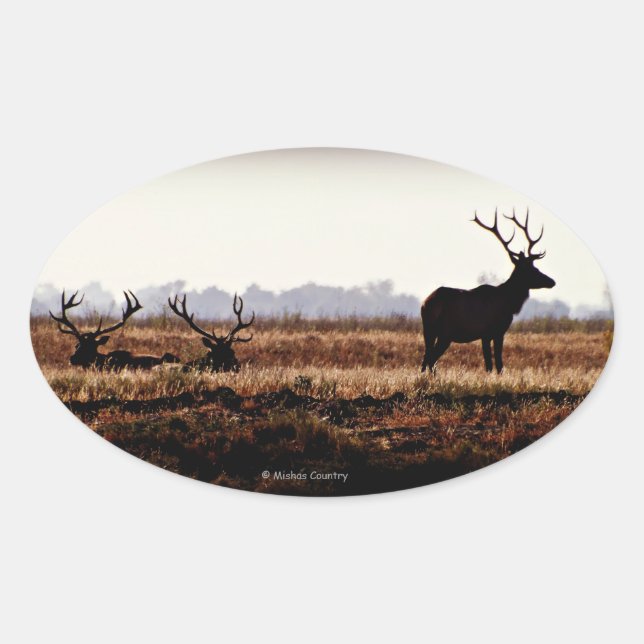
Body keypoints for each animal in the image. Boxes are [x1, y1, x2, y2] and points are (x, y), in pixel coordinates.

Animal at [420, 209, 555, 374]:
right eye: (532, 269)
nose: (552, 281)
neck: (509, 303)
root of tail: (426, 303)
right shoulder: (495, 331)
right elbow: (496, 364)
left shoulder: (485, 335)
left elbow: (489, 364)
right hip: (445, 332)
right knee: (431, 359)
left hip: (428, 330)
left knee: (425, 358)